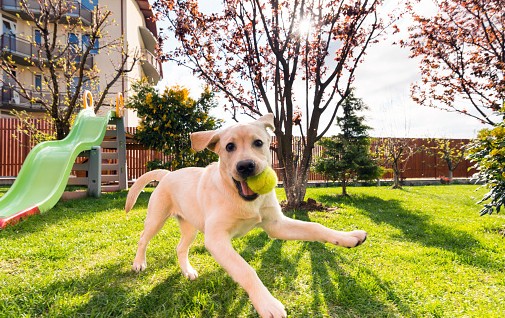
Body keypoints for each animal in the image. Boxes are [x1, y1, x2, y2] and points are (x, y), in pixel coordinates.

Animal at [124, 114, 364, 318]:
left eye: (258, 143)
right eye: (229, 147)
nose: (246, 166)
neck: (242, 198)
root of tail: (168, 174)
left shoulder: (276, 225)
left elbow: (315, 228)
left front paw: (347, 237)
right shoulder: (216, 239)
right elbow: (246, 270)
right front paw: (267, 304)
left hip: (190, 227)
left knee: (180, 248)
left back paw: (188, 271)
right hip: (156, 218)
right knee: (143, 239)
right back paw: (139, 263)